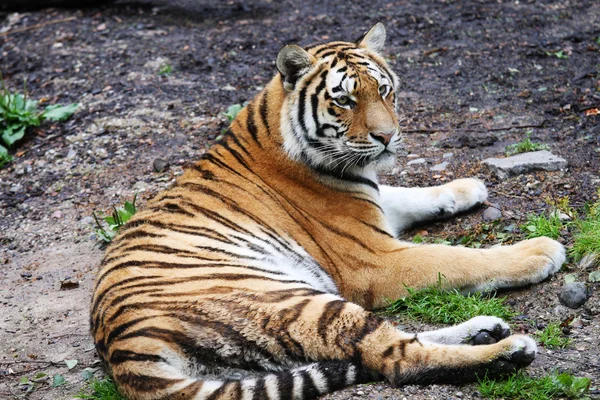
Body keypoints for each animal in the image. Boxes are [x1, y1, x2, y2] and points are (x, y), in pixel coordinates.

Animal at [91, 24, 564, 400]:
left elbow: (407, 194)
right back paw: (506, 351)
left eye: (384, 91)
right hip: (297, 303)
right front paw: (539, 251)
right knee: (392, 356)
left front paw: (468, 186)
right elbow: (459, 257)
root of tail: (120, 348)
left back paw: (486, 329)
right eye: (345, 101)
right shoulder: (376, 258)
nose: (388, 137)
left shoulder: (373, 203)